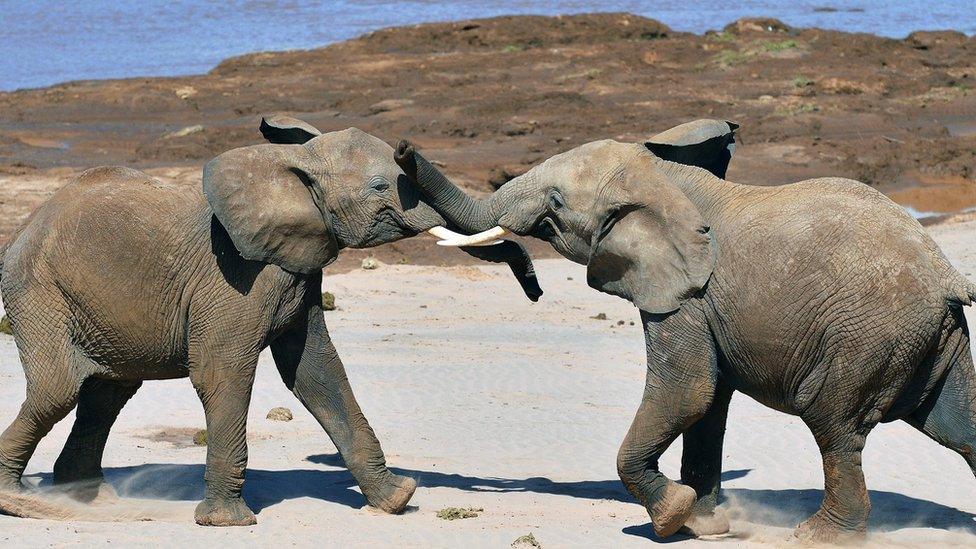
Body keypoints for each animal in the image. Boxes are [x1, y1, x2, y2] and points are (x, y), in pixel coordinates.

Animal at [0, 113, 540, 524]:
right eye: (379, 186)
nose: (534, 290)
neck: (290, 169)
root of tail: (25, 228)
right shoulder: (237, 275)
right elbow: (222, 371)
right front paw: (229, 522)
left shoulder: (299, 266)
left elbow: (317, 371)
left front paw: (397, 501)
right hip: (37, 291)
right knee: (59, 390)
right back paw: (17, 501)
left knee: (105, 394)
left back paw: (89, 501)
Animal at [392, 120, 976, 540]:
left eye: (555, 203)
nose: (401, 148)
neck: (664, 177)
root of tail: (947, 275)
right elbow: (709, 405)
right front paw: (705, 522)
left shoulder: (686, 297)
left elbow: (687, 391)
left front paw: (672, 515)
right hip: (933, 338)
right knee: (959, 425)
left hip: (868, 337)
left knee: (834, 424)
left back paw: (818, 535)